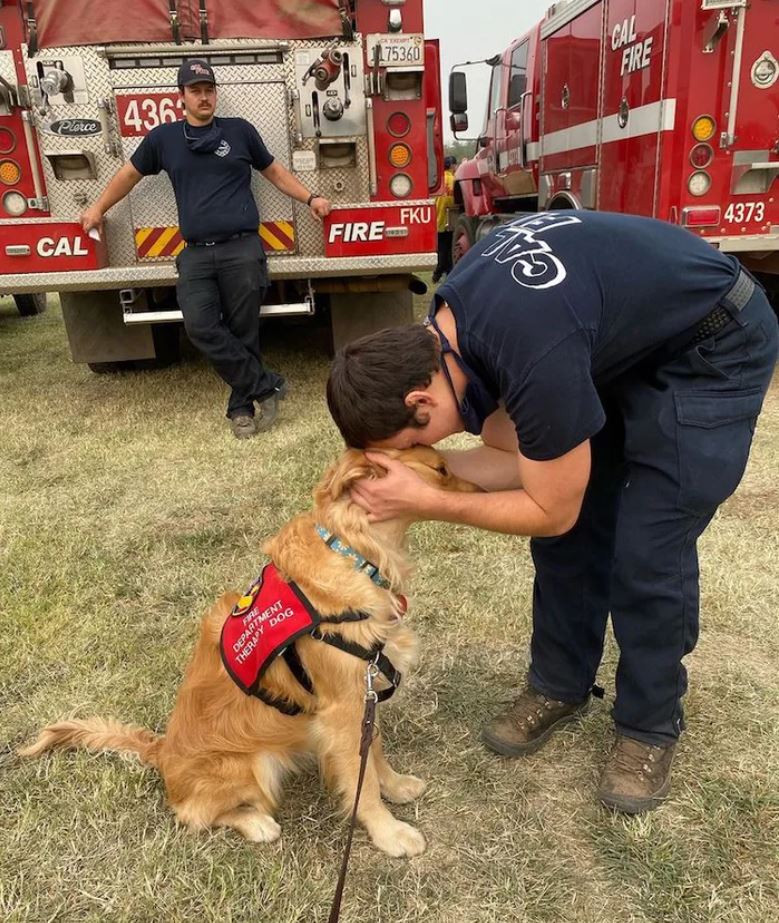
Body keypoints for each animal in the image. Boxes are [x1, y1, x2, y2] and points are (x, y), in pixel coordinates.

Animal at [16, 448, 482, 860]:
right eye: (441, 469)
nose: (479, 489)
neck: (354, 552)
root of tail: (161, 752)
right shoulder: (342, 707)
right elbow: (360, 782)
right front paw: (389, 833)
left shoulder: (363, 692)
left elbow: (375, 751)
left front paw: (396, 784)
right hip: (255, 766)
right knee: (193, 813)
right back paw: (256, 823)